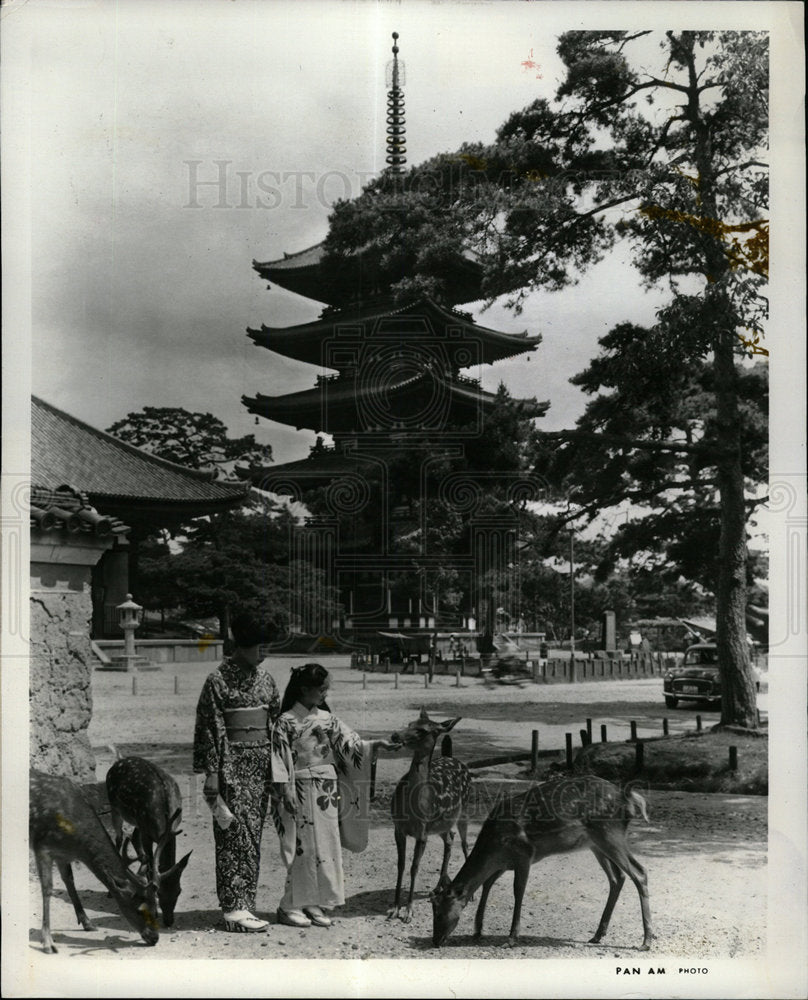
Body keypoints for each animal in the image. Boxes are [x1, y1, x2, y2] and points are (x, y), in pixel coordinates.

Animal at [30, 764, 159, 952]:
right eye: (139, 910)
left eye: (156, 907)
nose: (155, 938)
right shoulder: (42, 846)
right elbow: (47, 889)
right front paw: (47, 942)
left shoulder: (63, 854)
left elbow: (69, 880)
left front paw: (87, 923)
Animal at [105, 756, 192, 928]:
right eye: (159, 892)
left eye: (179, 891)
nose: (168, 921)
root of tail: (119, 761)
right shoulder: (147, 833)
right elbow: (152, 867)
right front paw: (154, 910)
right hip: (115, 807)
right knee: (119, 839)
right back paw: (112, 890)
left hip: (137, 820)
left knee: (133, 836)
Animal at [386, 712, 474, 920]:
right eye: (410, 723)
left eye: (423, 730)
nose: (395, 735)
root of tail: (451, 756)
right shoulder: (398, 828)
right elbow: (401, 865)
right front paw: (395, 908)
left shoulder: (422, 832)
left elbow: (414, 867)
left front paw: (409, 910)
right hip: (441, 825)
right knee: (450, 839)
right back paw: (440, 885)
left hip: (465, 809)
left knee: (464, 843)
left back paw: (469, 893)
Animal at [432, 772, 652, 952]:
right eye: (433, 910)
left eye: (440, 913)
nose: (435, 940)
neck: (494, 846)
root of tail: (627, 798)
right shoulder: (503, 863)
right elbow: (486, 884)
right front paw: (478, 930)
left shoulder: (523, 855)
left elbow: (518, 891)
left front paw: (511, 939)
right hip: (596, 844)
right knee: (617, 877)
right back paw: (598, 935)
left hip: (609, 834)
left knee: (639, 873)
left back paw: (646, 941)